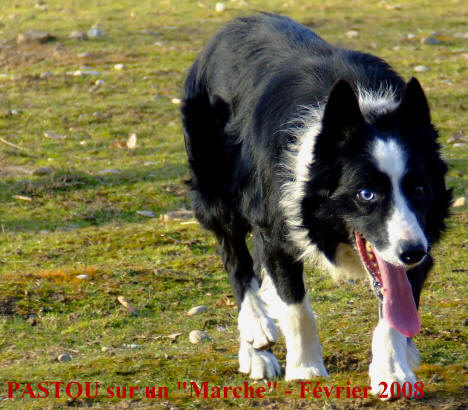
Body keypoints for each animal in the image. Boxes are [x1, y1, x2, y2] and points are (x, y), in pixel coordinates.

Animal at [182, 14, 450, 396]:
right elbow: (296, 307)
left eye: (418, 189)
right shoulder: (278, 225)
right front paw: (305, 368)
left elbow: (395, 304)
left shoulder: (420, 232)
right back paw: (257, 336)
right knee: (234, 254)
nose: (412, 253)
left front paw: (391, 370)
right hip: (214, 183)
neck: (364, 114)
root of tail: (236, 22)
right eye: (366, 194)